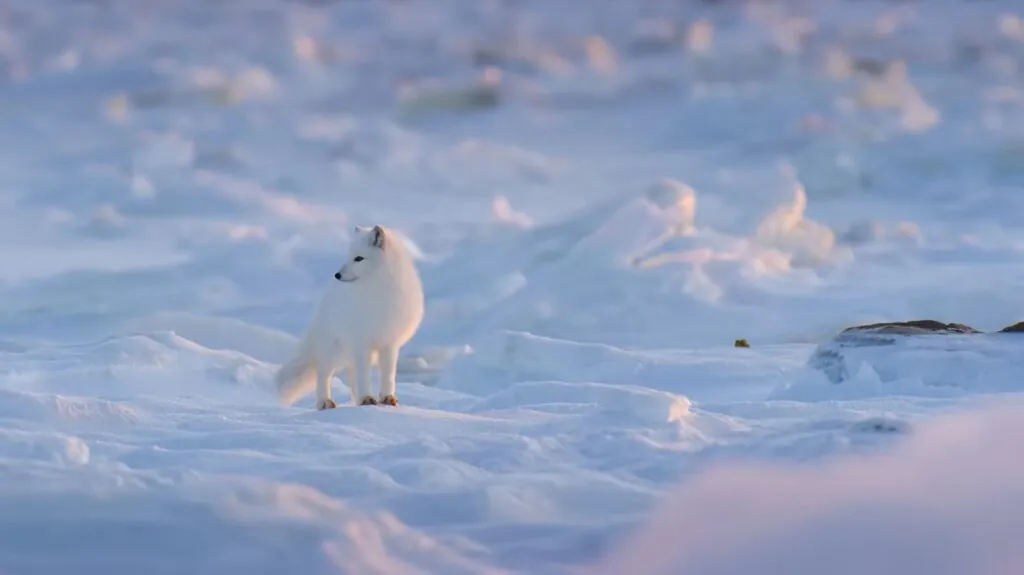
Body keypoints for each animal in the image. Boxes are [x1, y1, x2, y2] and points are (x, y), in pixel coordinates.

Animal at [272, 224, 423, 407]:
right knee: (323, 374)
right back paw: (325, 402)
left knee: (351, 375)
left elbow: (388, 375)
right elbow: (363, 376)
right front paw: (367, 398)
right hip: (333, 351)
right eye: (348, 256)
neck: (378, 290)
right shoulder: (362, 343)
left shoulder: (389, 344)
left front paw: (386, 398)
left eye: (358, 258)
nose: (337, 275)